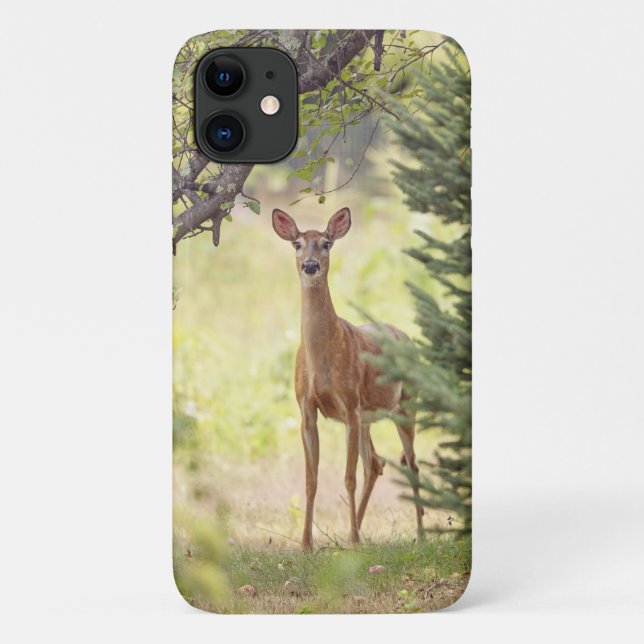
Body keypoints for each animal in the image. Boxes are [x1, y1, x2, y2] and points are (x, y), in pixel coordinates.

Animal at [272, 207, 424, 549]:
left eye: (326, 243)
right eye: (297, 243)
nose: (310, 266)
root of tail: (406, 337)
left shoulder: (350, 404)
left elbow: (348, 477)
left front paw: (351, 539)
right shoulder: (306, 408)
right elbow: (311, 479)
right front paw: (306, 543)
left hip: (406, 405)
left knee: (411, 464)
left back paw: (419, 534)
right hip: (368, 417)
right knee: (376, 463)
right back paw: (356, 533)